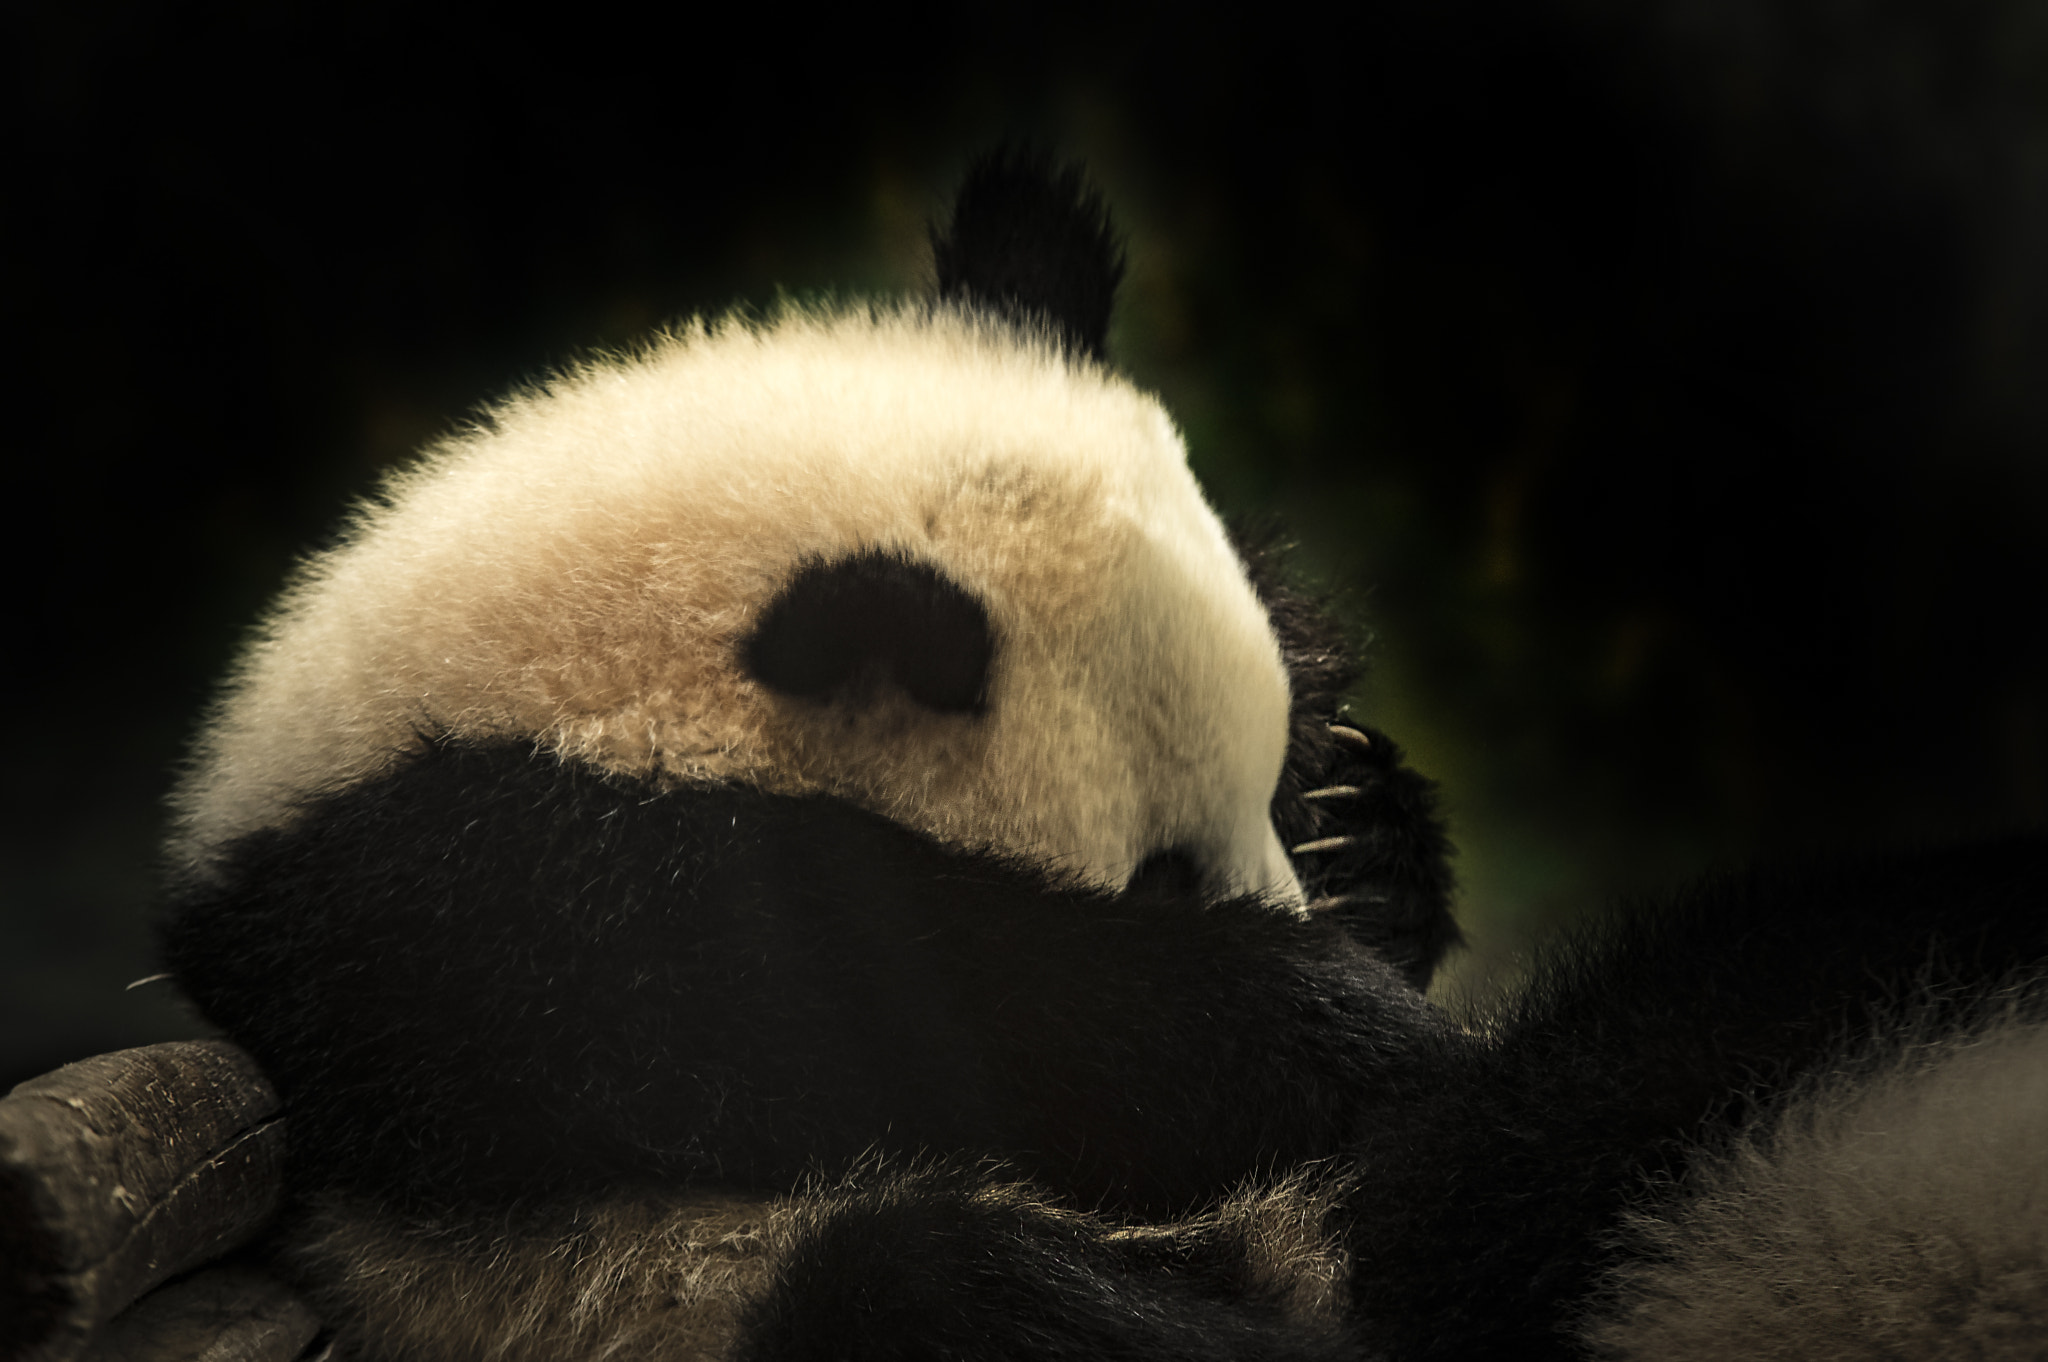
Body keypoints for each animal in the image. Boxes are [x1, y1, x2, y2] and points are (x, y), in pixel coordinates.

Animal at [158, 150, 2048, 1361]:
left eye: (1268, 783)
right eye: (1156, 869)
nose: (1304, 926)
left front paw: (1365, 844)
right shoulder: (445, 906)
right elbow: (845, 1003)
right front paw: (1305, 1026)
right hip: (674, 1295)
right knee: (943, 1294)